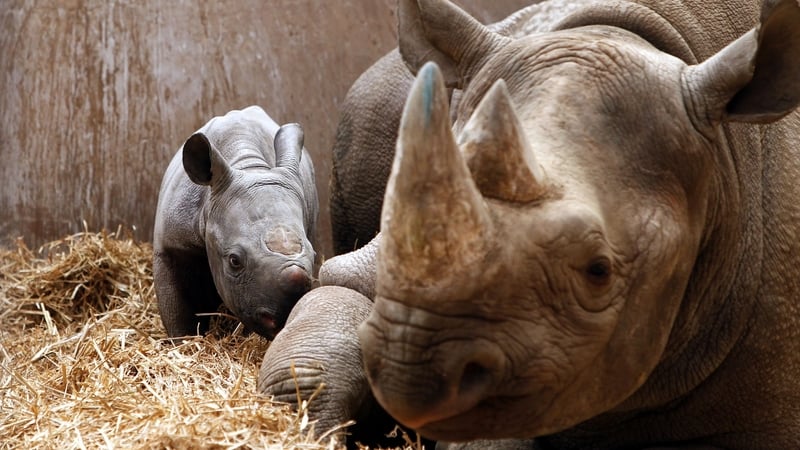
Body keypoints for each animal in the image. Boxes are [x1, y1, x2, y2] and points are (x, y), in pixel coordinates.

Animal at [153, 106, 318, 339]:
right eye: (234, 261)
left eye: (314, 255)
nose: (284, 317)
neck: (248, 166)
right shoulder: (169, 247)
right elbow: (179, 312)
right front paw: (185, 340)